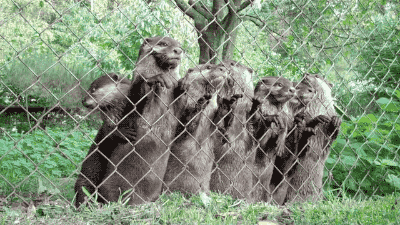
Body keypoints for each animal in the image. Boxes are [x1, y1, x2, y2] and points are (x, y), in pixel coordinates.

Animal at [73, 72, 133, 207]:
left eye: (93, 89)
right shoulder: (106, 125)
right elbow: (109, 133)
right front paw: (124, 133)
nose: (83, 100)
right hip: (84, 182)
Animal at [282, 73, 342, 203]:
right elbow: (301, 124)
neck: (317, 108)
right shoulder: (303, 112)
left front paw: (336, 121)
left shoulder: (329, 112)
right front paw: (315, 120)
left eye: (317, 75)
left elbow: (330, 137)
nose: (306, 74)